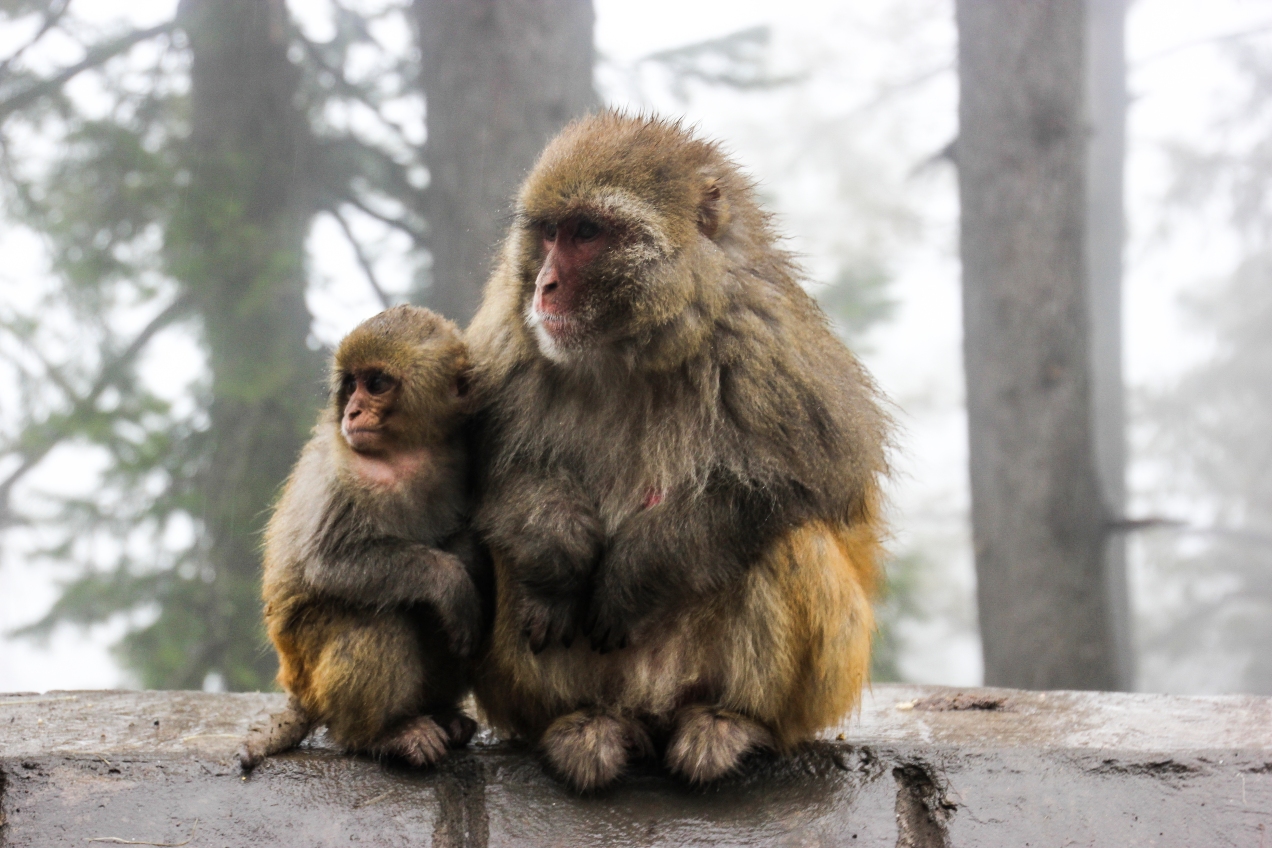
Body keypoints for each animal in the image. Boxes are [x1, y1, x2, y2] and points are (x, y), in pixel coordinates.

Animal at [237, 305, 487, 773]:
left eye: (375, 384)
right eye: (351, 384)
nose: (351, 411)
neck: (408, 451)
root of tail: (298, 691)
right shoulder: (345, 474)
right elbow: (330, 562)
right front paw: (450, 583)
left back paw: (441, 714)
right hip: (308, 662)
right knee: (376, 619)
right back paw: (384, 734)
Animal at [465, 113, 890, 792]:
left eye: (587, 232)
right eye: (551, 232)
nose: (544, 285)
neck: (632, 350)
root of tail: (649, 710)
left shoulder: (767, 340)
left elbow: (813, 477)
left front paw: (636, 571)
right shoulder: (508, 333)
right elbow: (487, 469)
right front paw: (560, 552)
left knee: (788, 538)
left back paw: (730, 722)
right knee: (501, 549)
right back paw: (583, 723)